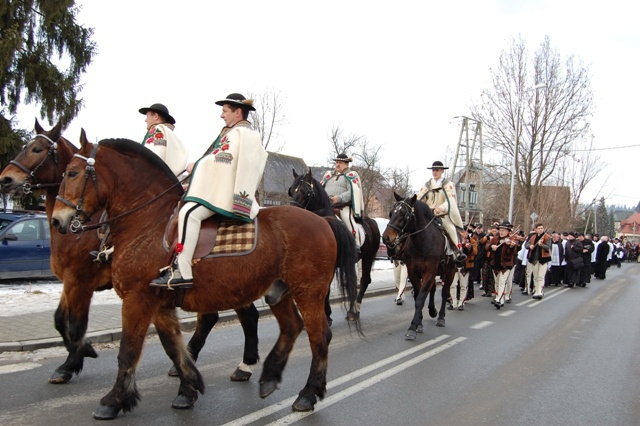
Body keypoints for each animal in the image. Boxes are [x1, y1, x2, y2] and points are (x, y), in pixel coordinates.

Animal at [0, 120, 262, 382]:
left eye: (37, 149)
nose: (5, 179)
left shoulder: (80, 281)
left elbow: (76, 325)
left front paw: (72, 362)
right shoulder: (69, 281)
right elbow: (59, 319)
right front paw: (84, 351)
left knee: (242, 316)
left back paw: (242, 365)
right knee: (220, 317)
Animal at [50, 133, 360, 420]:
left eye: (73, 173)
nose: (57, 220)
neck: (149, 222)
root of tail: (322, 220)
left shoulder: (135, 298)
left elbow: (128, 348)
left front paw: (113, 400)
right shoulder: (158, 304)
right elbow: (172, 347)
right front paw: (188, 388)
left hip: (308, 291)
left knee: (319, 336)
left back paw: (308, 393)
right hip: (277, 291)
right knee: (291, 327)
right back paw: (269, 376)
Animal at [288, 167, 380, 320]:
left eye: (305, 192)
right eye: (291, 190)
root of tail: (372, 222)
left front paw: (327, 315)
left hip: (368, 257)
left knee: (364, 280)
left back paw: (354, 311)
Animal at [380, 193, 456, 340]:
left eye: (404, 214)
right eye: (391, 213)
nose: (386, 237)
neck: (423, 242)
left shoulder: (429, 272)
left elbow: (420, 299)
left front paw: (412, 328)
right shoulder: (413, 272)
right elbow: (418, 297)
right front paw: (418, 323)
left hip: (450, 272)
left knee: (444, 292)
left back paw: (441, 317)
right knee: (432, 289)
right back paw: (432, 310)